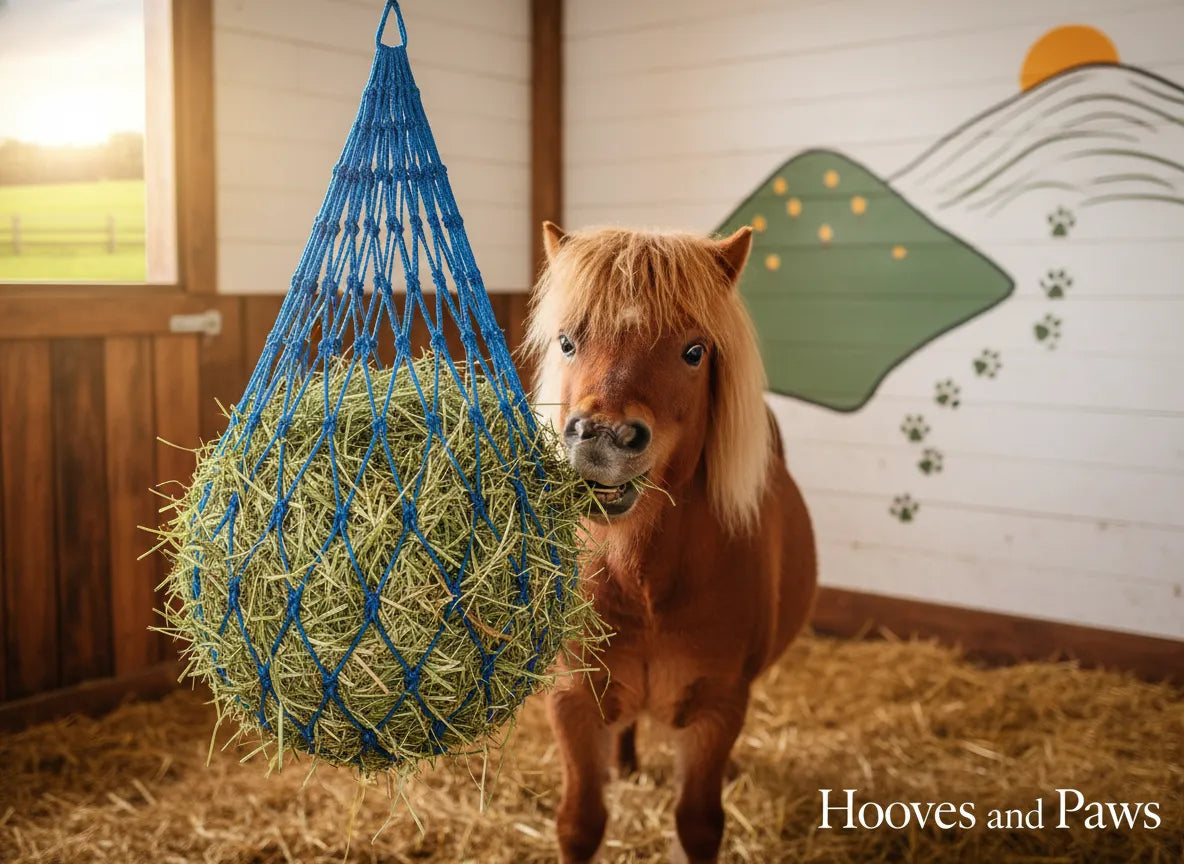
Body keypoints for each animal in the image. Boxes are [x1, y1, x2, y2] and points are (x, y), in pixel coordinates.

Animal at [524, 222, 818, 864]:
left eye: (694, 351)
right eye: (566, 341)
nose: (601, 437)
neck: (643, 583)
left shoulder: (717, 709)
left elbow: (699, 823)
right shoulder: (572, 702)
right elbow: (580, 823)